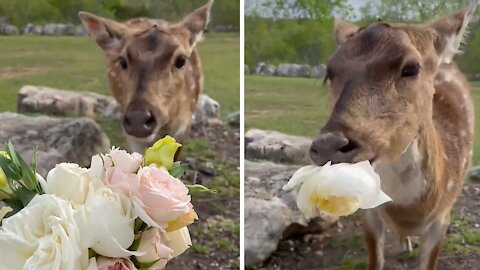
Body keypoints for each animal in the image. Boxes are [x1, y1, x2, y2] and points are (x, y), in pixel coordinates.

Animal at [310, 4, 478, 270]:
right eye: (329, 73)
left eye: (411, 67)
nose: (328, 145)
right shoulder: (369, 211)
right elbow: (375, 259)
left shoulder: (443, 217)